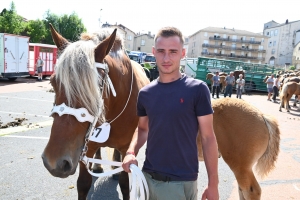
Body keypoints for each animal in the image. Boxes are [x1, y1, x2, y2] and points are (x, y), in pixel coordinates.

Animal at [41, 24, 149, 199]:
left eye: (96, 86)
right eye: (52, 82)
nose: (54, 161)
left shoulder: (127, 148)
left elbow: (125, 184)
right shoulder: (85, 147)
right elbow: (83, 184)